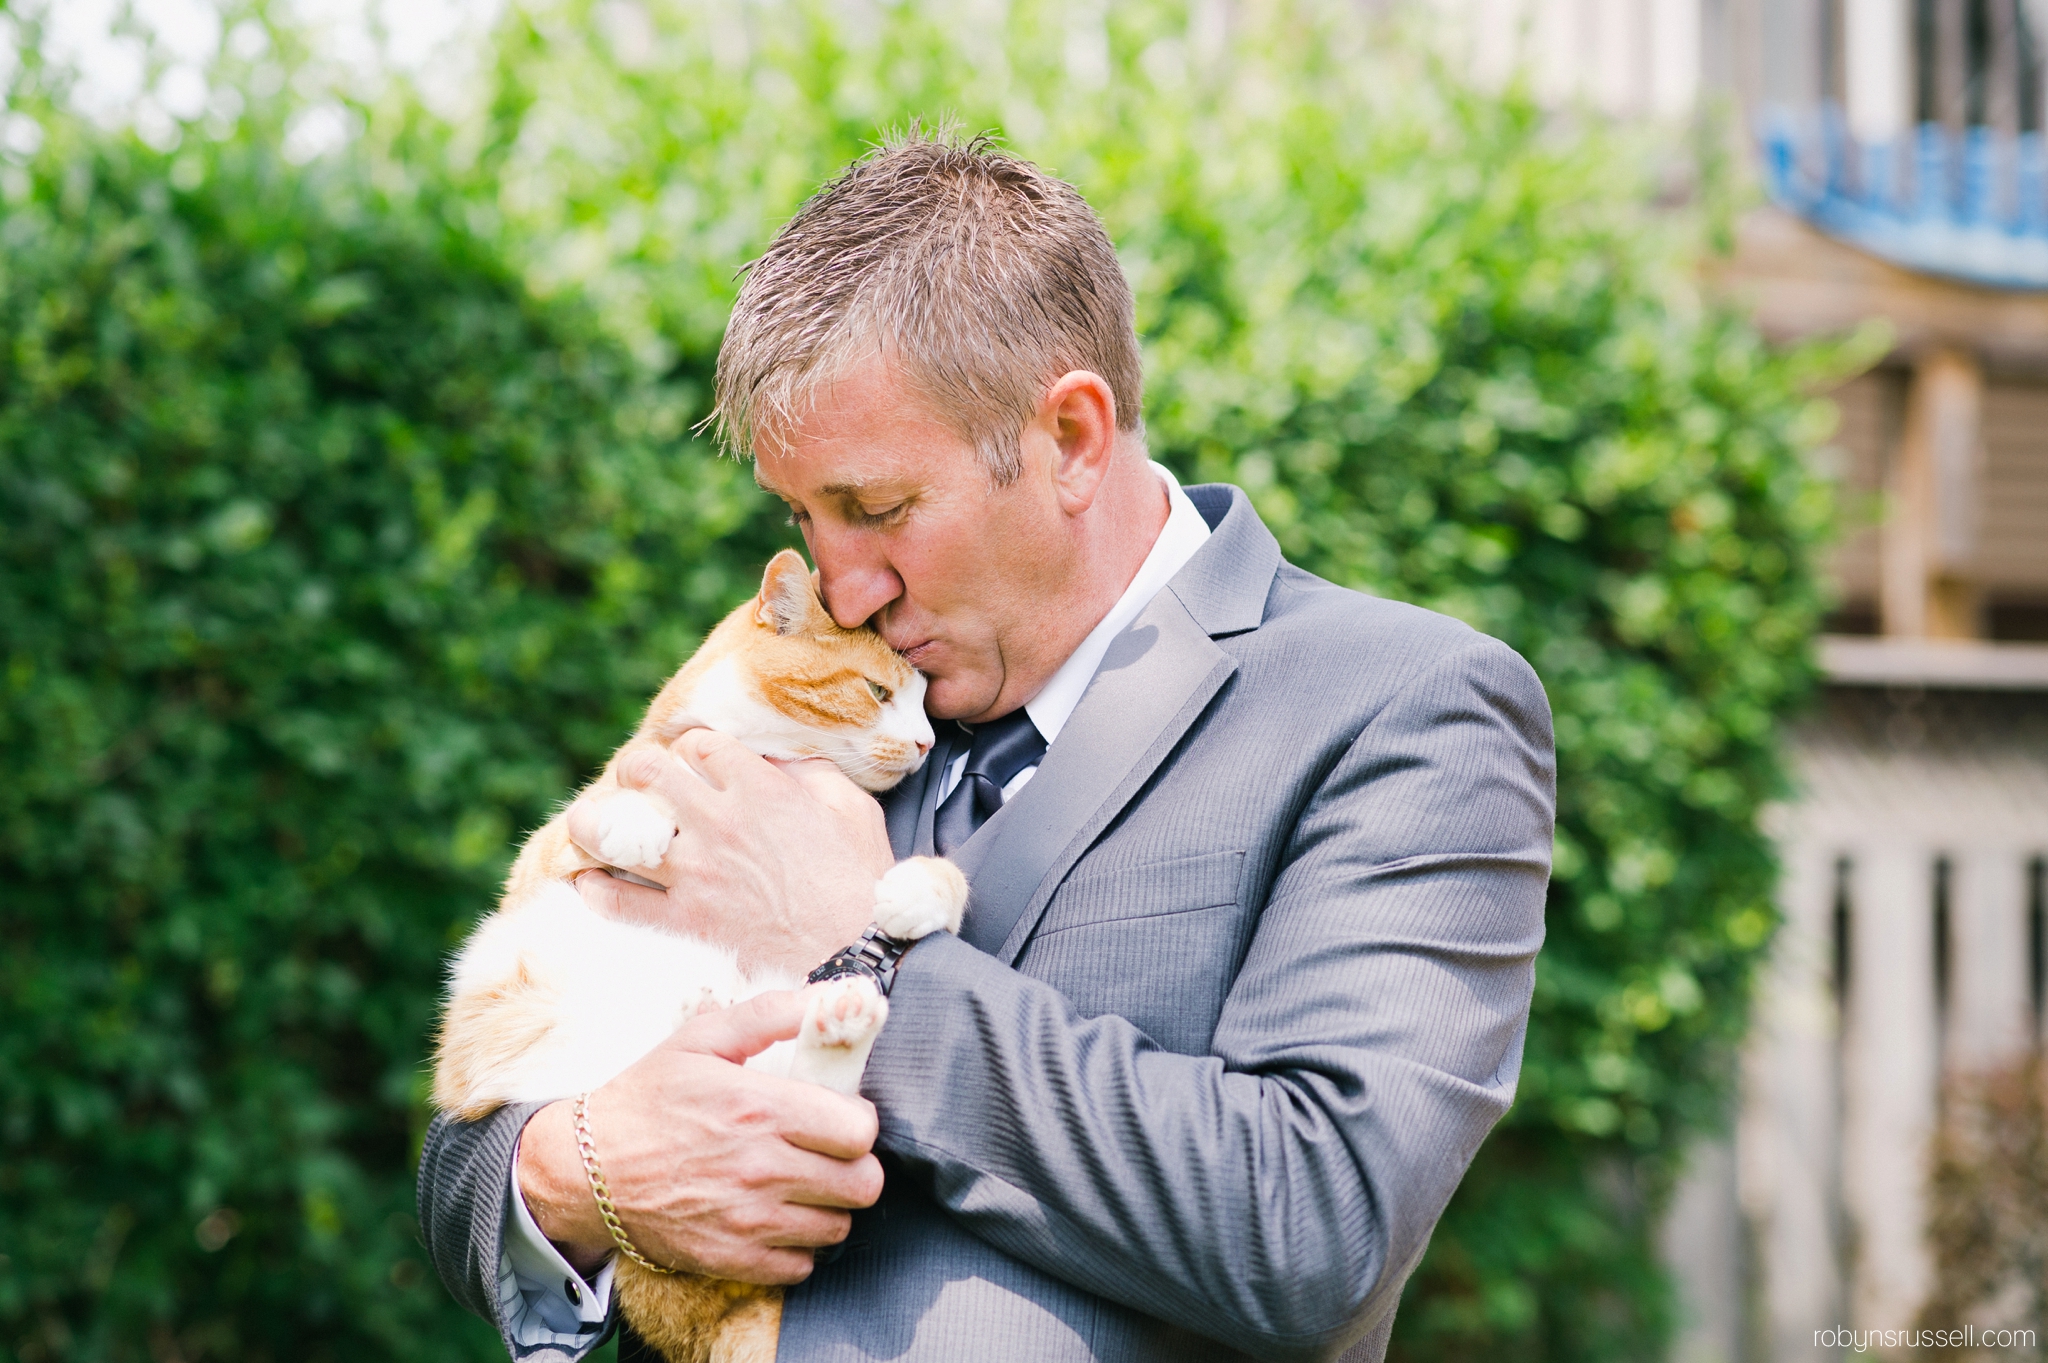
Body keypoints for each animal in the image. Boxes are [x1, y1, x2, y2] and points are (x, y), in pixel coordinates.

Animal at [432, 548, 958, 1358]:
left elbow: (943, 884)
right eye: (877, 692)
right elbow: (605, 809)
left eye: (929, 707)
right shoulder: (546, 854)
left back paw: (833, 1016)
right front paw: (640, 825)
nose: (930, 742)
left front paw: (917, 890)